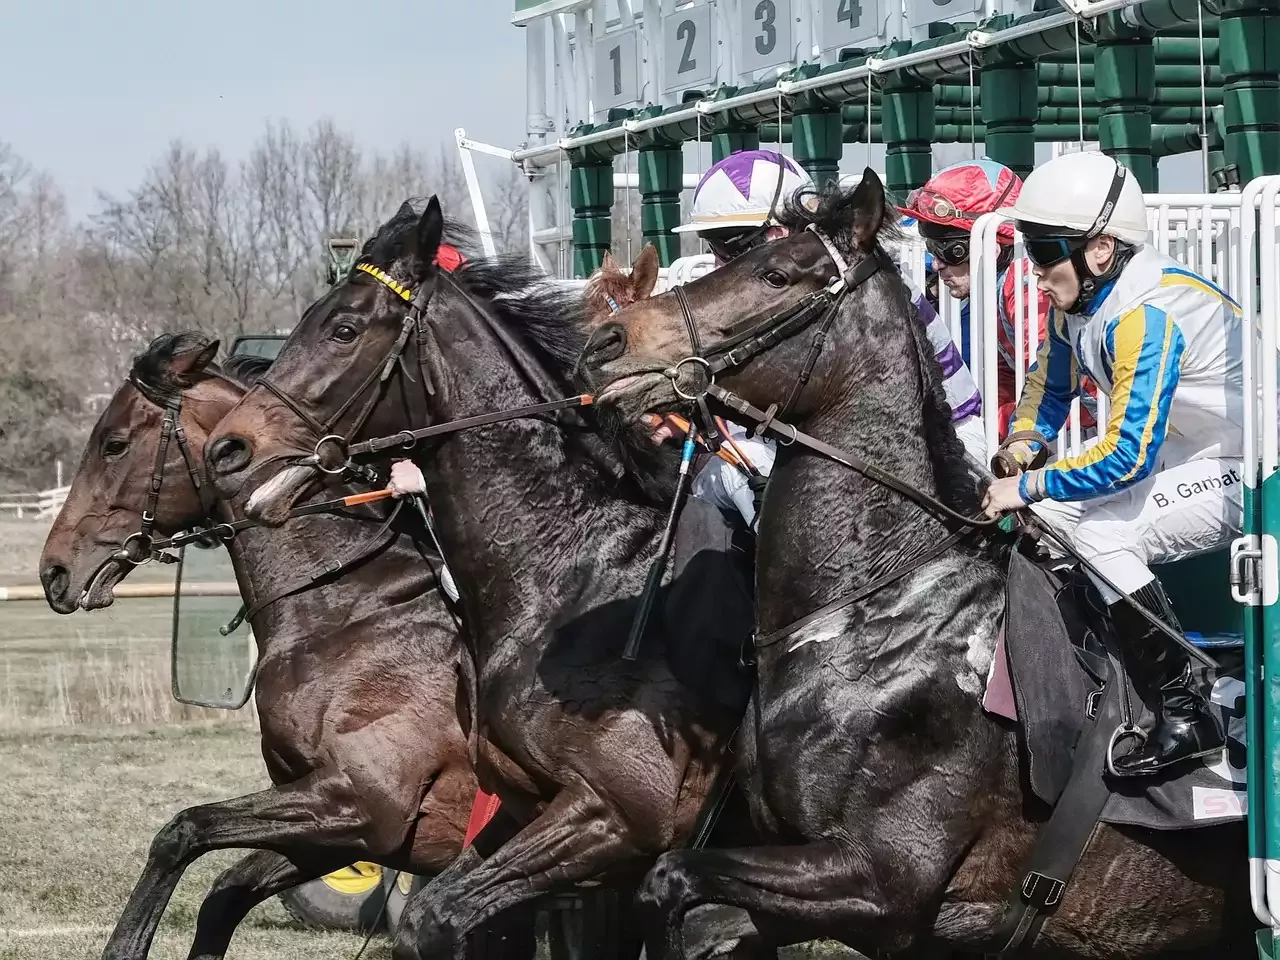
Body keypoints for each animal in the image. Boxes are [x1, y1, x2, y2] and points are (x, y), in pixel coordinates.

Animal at [38, 335, 529, 960]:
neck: (350, 609)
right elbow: (223, 892)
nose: (54, 572)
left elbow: (182, 831)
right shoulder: (337, 830)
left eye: (114, 443)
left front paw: (124, 946)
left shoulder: (363, 806)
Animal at [578, 168, 1249, 957]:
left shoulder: (882, 883)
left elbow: (670, 877)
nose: (606, 342)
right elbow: (695, 909)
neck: (871, 613)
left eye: (774, 273)